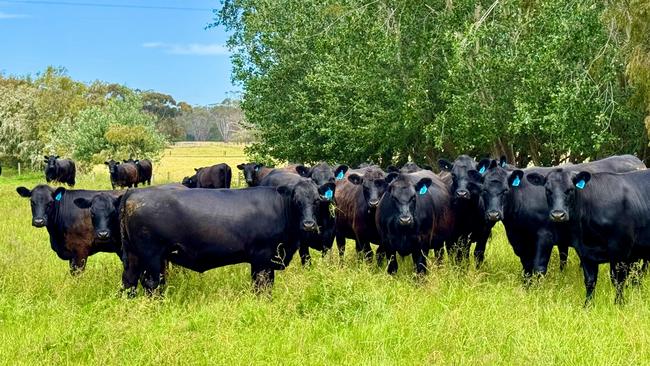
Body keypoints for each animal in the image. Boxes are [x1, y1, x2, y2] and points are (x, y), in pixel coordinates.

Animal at [119, 182, 332, 294]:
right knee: (152, 284)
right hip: (152, 256)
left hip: (134, 255)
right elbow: (261, 287)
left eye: (316, 201)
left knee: (129, 281)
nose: (308, 224)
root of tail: (133, 192)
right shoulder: (262, 259)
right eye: (296, 201)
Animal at [478, 154, 640, 278]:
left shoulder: (545, 236)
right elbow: (527, 267)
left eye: (505, 190)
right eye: (483, 190)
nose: (493, 214)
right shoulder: (520, 240)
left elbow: (539, 268)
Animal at [528, 167, 648, 304]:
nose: (558, 215)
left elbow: (618, 281)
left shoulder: (620, 251)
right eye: (548, 190)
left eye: (570, 189)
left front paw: (619, 303)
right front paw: (588, 305)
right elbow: (590, 281)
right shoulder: (585, 253)